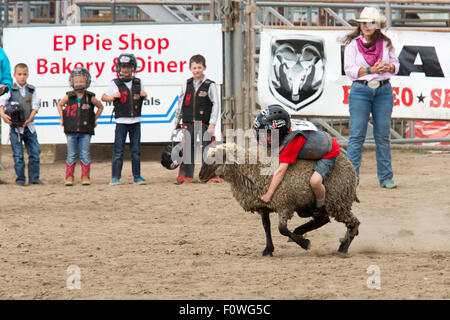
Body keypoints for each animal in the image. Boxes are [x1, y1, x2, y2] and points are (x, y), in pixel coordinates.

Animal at [206, 144, 360, 256]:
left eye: (216, 159)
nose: (201, 177)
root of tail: (349, 164)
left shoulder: (284, 204)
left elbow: (282, 229)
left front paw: (305, 243)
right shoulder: (264, 206)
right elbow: (266, 227)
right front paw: (268, 250)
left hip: (337, 202)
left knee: (354, 223)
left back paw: (343, 248)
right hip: (324, 205)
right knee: (324, 220)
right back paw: (300, 231)